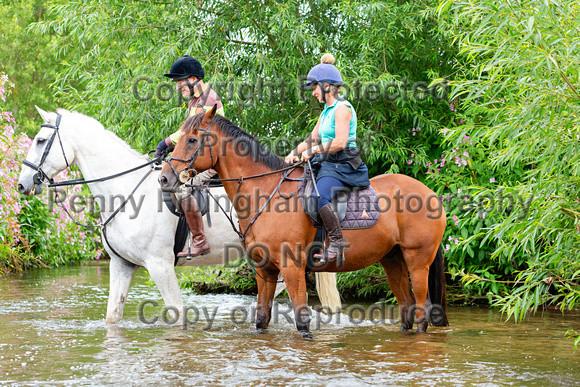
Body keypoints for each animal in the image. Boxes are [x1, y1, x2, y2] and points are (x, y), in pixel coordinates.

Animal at [17, 107, 340, 326]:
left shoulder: (159, 266)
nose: (22, 184)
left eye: (41, 140)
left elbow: (177, 315)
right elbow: (112, 317)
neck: (125, 192)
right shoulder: (121, 265)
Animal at [159, 107, 448, 340]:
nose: (164, 179)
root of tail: (431, 193)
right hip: (392, 259)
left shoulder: (292, 268)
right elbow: (262, 319)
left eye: (192, 139)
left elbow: (302, 322)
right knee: (407, 308)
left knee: (421, 312)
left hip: (417, 261)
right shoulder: (265, 270)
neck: (266, 194)